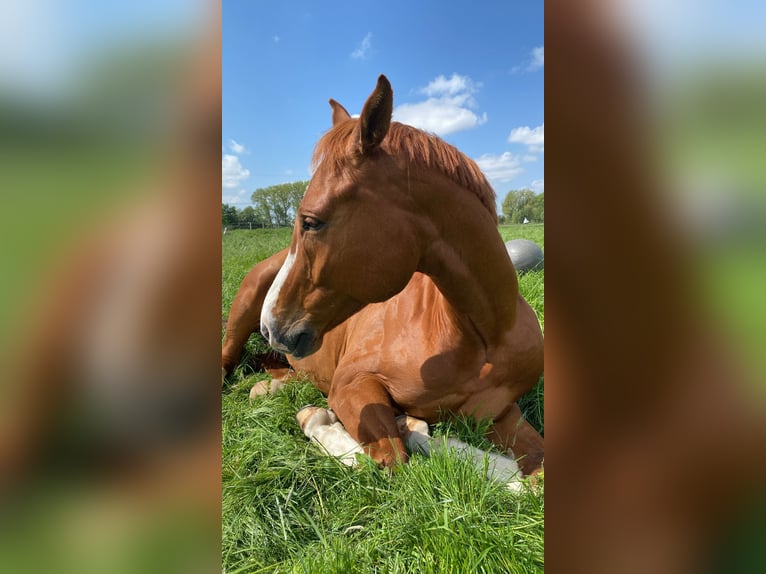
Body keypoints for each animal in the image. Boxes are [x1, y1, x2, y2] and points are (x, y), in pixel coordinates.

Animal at [222, 74, 544, 474]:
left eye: (311, 221)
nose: (270, 325)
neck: (486, 337)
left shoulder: (502, 416)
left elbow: (535, 469)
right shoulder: (352, 383)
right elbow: (390, 459)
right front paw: (324, 421)